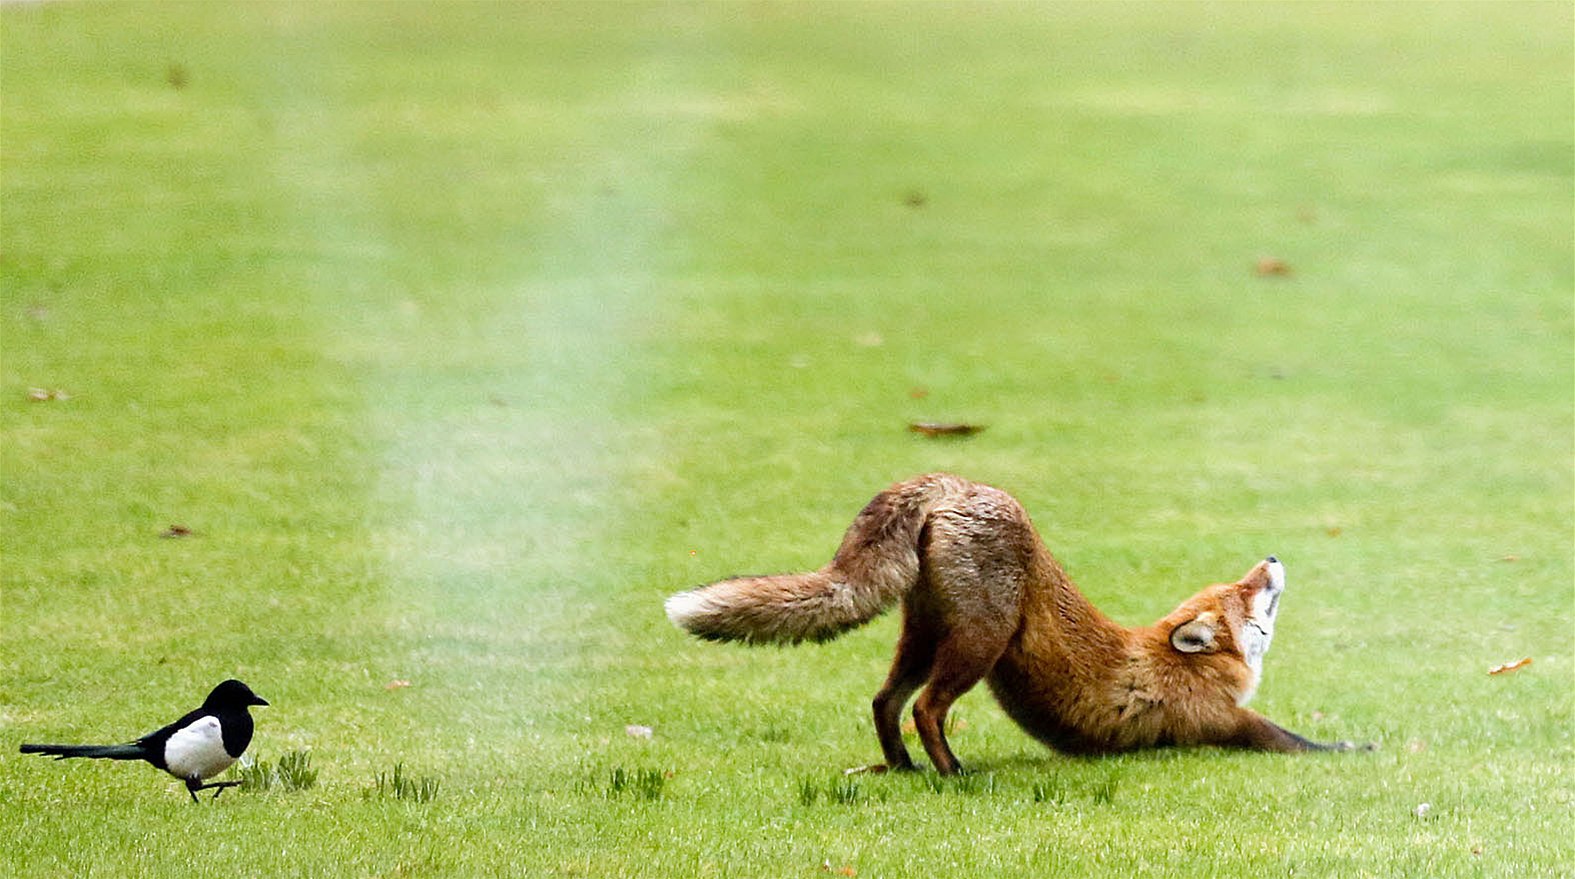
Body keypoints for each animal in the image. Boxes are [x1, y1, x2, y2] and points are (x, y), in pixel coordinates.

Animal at [664, 472, 1367, 775]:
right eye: (1245, 592)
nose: (1271, 558)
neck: (1182, 662)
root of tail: (953, 483)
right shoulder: (1224, 724)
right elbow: (1297, 742)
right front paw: (1353, 750)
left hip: (924, 636)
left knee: (885, 702)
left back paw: (904, 769)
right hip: (979, 642)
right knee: (925, 708)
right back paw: (954, 774)